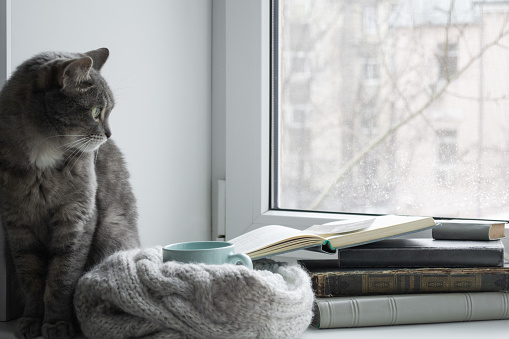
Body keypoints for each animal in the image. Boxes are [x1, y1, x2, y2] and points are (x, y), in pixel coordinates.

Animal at [0, 48, 139, 339]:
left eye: (109, 111)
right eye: (96, 111)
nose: (109, 134)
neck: (41, 162)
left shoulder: (76, 218)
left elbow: (61, 277)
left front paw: (56, 324)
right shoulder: (18, 225)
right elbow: (31, 278)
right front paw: (32, 321)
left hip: (112, 235)